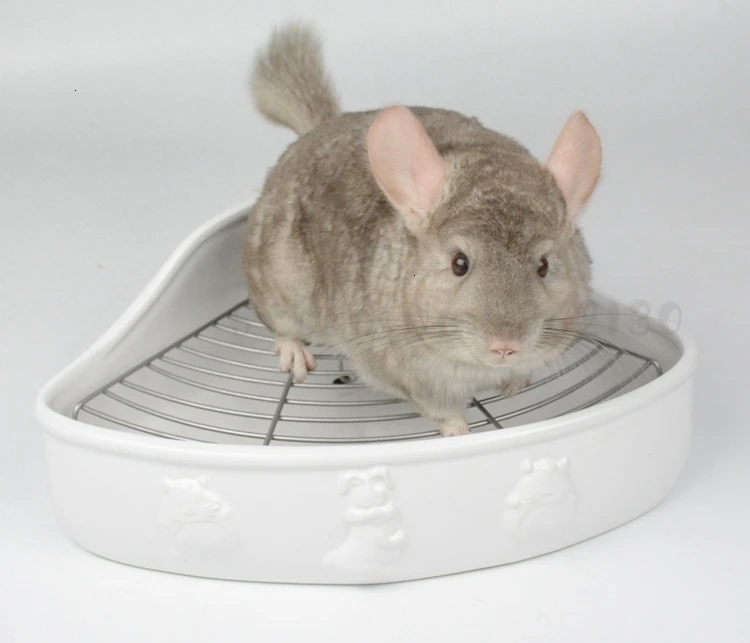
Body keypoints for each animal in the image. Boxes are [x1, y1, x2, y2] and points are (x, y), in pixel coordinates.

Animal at [244, 23, 602, 437]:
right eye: (459, 263)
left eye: (543, 266)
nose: (505, 347)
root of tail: (319, 128)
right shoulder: (407, 374)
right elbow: (443, 411)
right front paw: (461, 433)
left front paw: (514, 381)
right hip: (279, 281)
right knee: (280, 323)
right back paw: (295, 354)